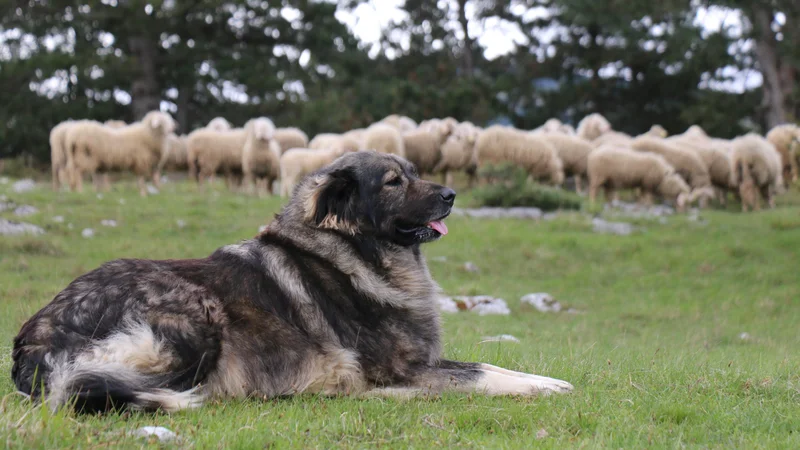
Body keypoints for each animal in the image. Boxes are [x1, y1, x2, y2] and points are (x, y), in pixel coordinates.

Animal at [12, 149, 576, 414]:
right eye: (394, 182)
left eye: (415, 171)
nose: (452, 195)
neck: (356, 251)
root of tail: (32, 342)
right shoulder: (399, 370)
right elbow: (480, 376)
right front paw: (543, 389)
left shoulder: (424, 361)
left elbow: (489, 365)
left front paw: (548, 380)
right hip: (195, 318)